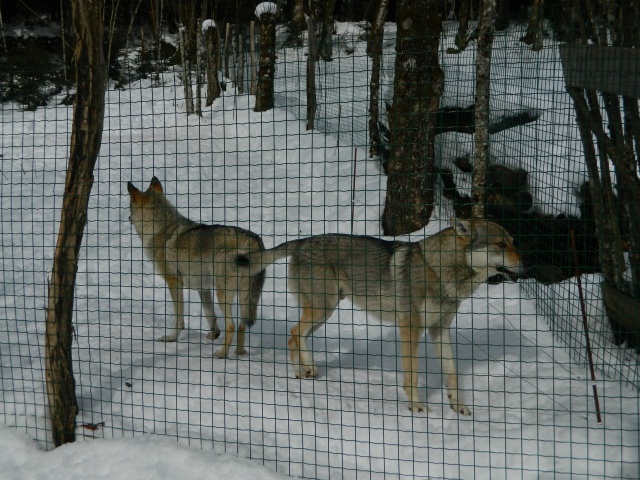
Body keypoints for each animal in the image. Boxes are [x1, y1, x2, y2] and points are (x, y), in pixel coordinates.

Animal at [238, 219, 524, 414]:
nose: (527, 262)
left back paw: (302, 372)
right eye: (500, 244)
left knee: (294, 335)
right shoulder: (410, 329)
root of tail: (304, 241)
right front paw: (417, 408)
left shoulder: (439, 330)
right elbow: (412, 374)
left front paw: (458, 407)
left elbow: (451, 371)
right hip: (323, 308)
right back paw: (307, 368)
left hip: (324, 312)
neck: (440, 270)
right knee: (295, 332)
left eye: (513, 241)